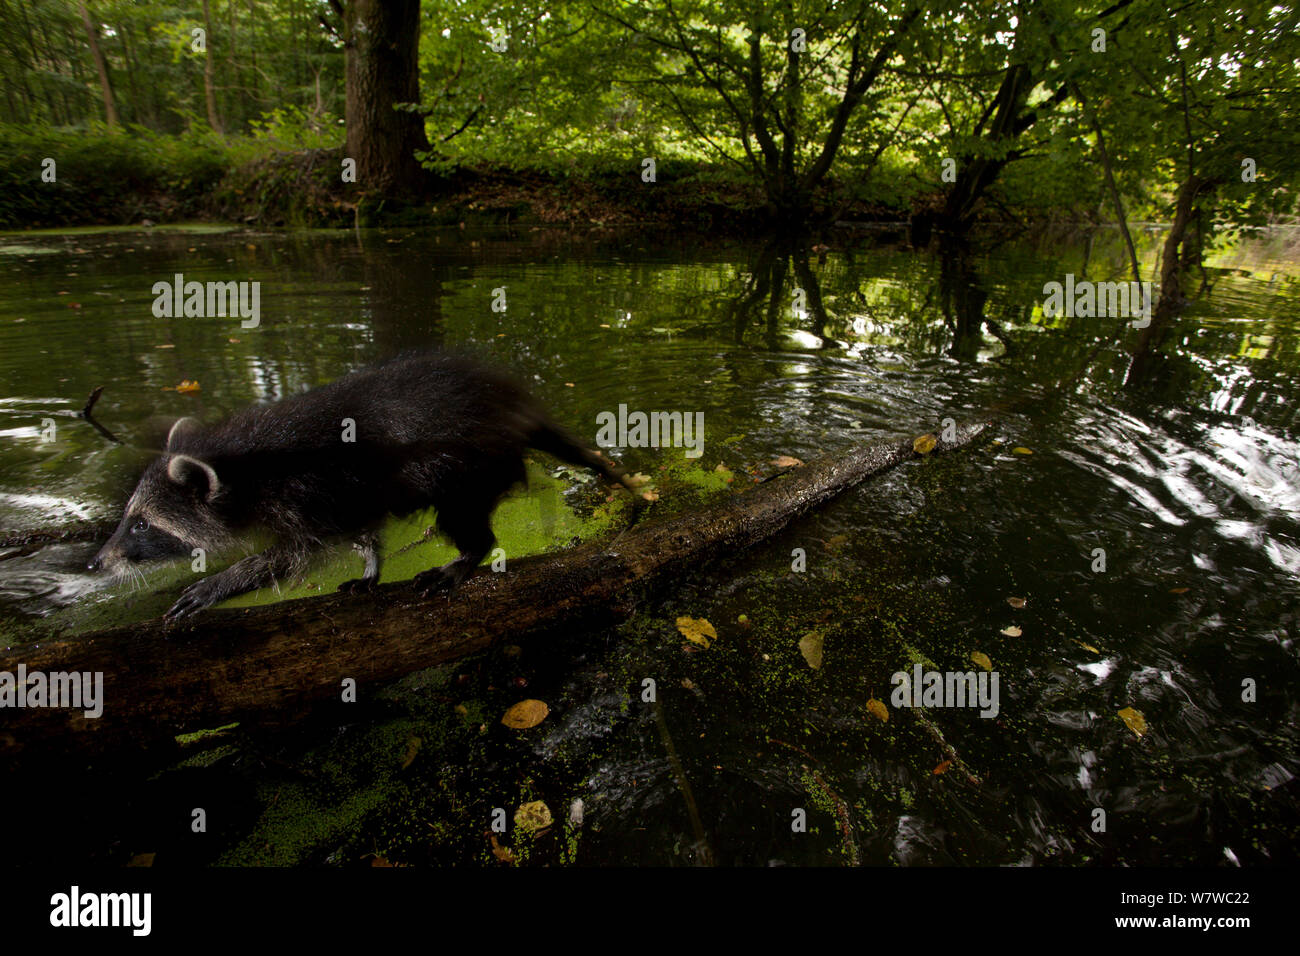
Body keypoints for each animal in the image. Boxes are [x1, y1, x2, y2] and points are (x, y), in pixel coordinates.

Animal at [89, 353, 634, 619]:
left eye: (141, 525)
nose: (98, 563)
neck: (240, 465)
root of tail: (514, 406)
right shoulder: (343, 494)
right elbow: (362, 527)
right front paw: (371, 564)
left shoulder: (304, 492)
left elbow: (288, 556)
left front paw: (223, 580)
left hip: (466, 460)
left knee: (461, 514)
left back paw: (470, 553)